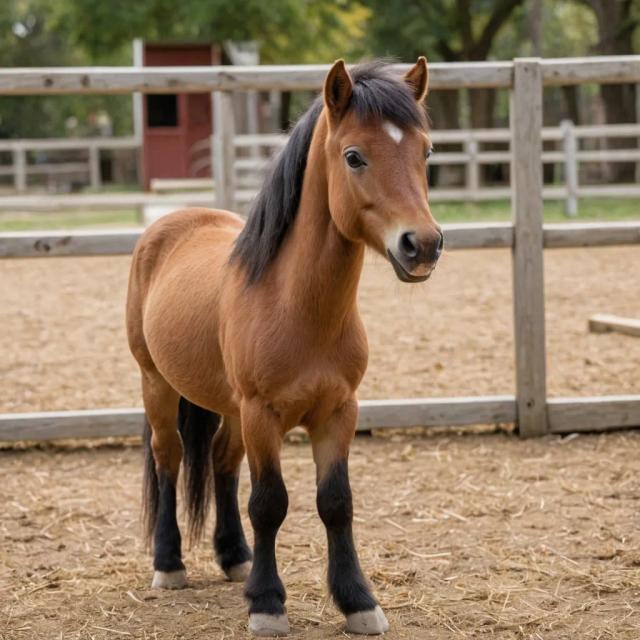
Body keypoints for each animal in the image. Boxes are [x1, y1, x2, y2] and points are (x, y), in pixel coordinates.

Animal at [126, 57, 442, 636]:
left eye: (425, 151)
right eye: (354, 156)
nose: (423, 245)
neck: (296, 308)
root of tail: (172, 222)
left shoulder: (339, 411)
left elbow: (335, 502)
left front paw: (357, 600)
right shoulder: (262, 413)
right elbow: (270, 503)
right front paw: (268, 604)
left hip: (227, 407)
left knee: (221, 463)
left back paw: (234, 557)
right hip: (157, 384)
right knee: (169, 458)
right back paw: (169, 563)